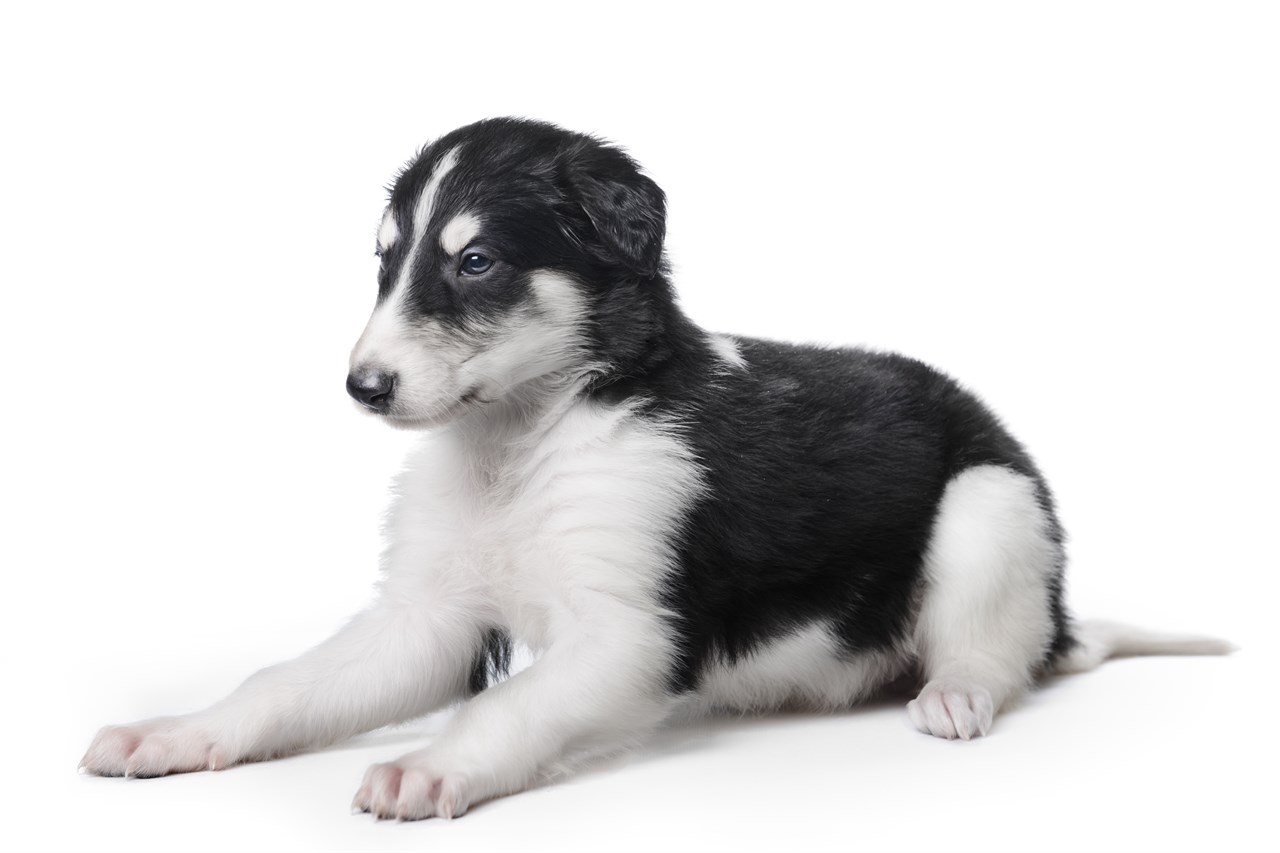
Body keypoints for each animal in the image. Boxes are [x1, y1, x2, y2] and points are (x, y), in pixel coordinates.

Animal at [77, 117, 1228, 819]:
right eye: (385, 259)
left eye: (476, 260)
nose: (363, 387)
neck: (526, 437)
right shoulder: (425, 616)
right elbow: (281, 685)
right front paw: (173, 734)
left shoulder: (630, 633)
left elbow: (503, 709)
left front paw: (426, 766)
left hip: (989, 512)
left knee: (993, 654)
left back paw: (952, 696)